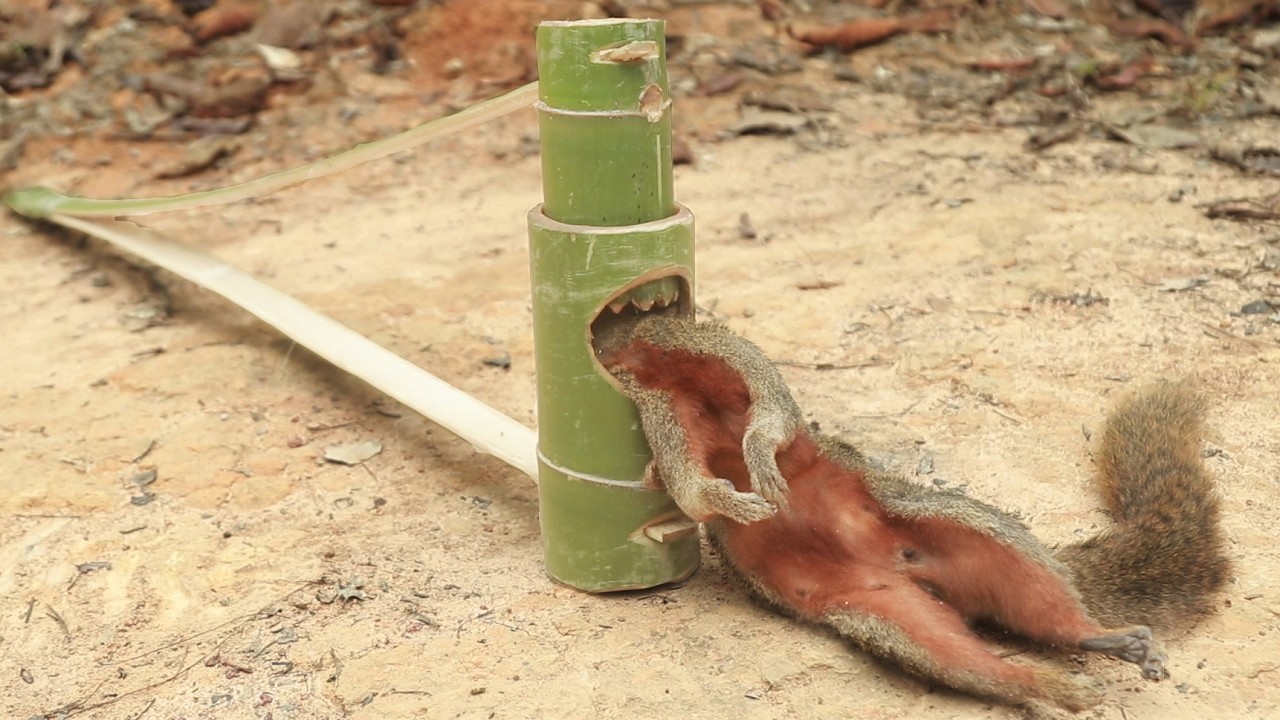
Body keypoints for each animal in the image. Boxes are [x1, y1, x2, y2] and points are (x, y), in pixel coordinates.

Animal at [594, 312, 1229, 712]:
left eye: (648, 322)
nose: (604, 344)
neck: (687, 384)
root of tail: (916, 579)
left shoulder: (745, 369)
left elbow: (774, 420)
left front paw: (759, 461)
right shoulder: (666, 424)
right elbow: (691, 489)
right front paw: (731, 498)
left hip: (967, 534)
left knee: (1047, 612)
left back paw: (1105, 642)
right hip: (890, 617)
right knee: (974, 656)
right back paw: (1058, 683)